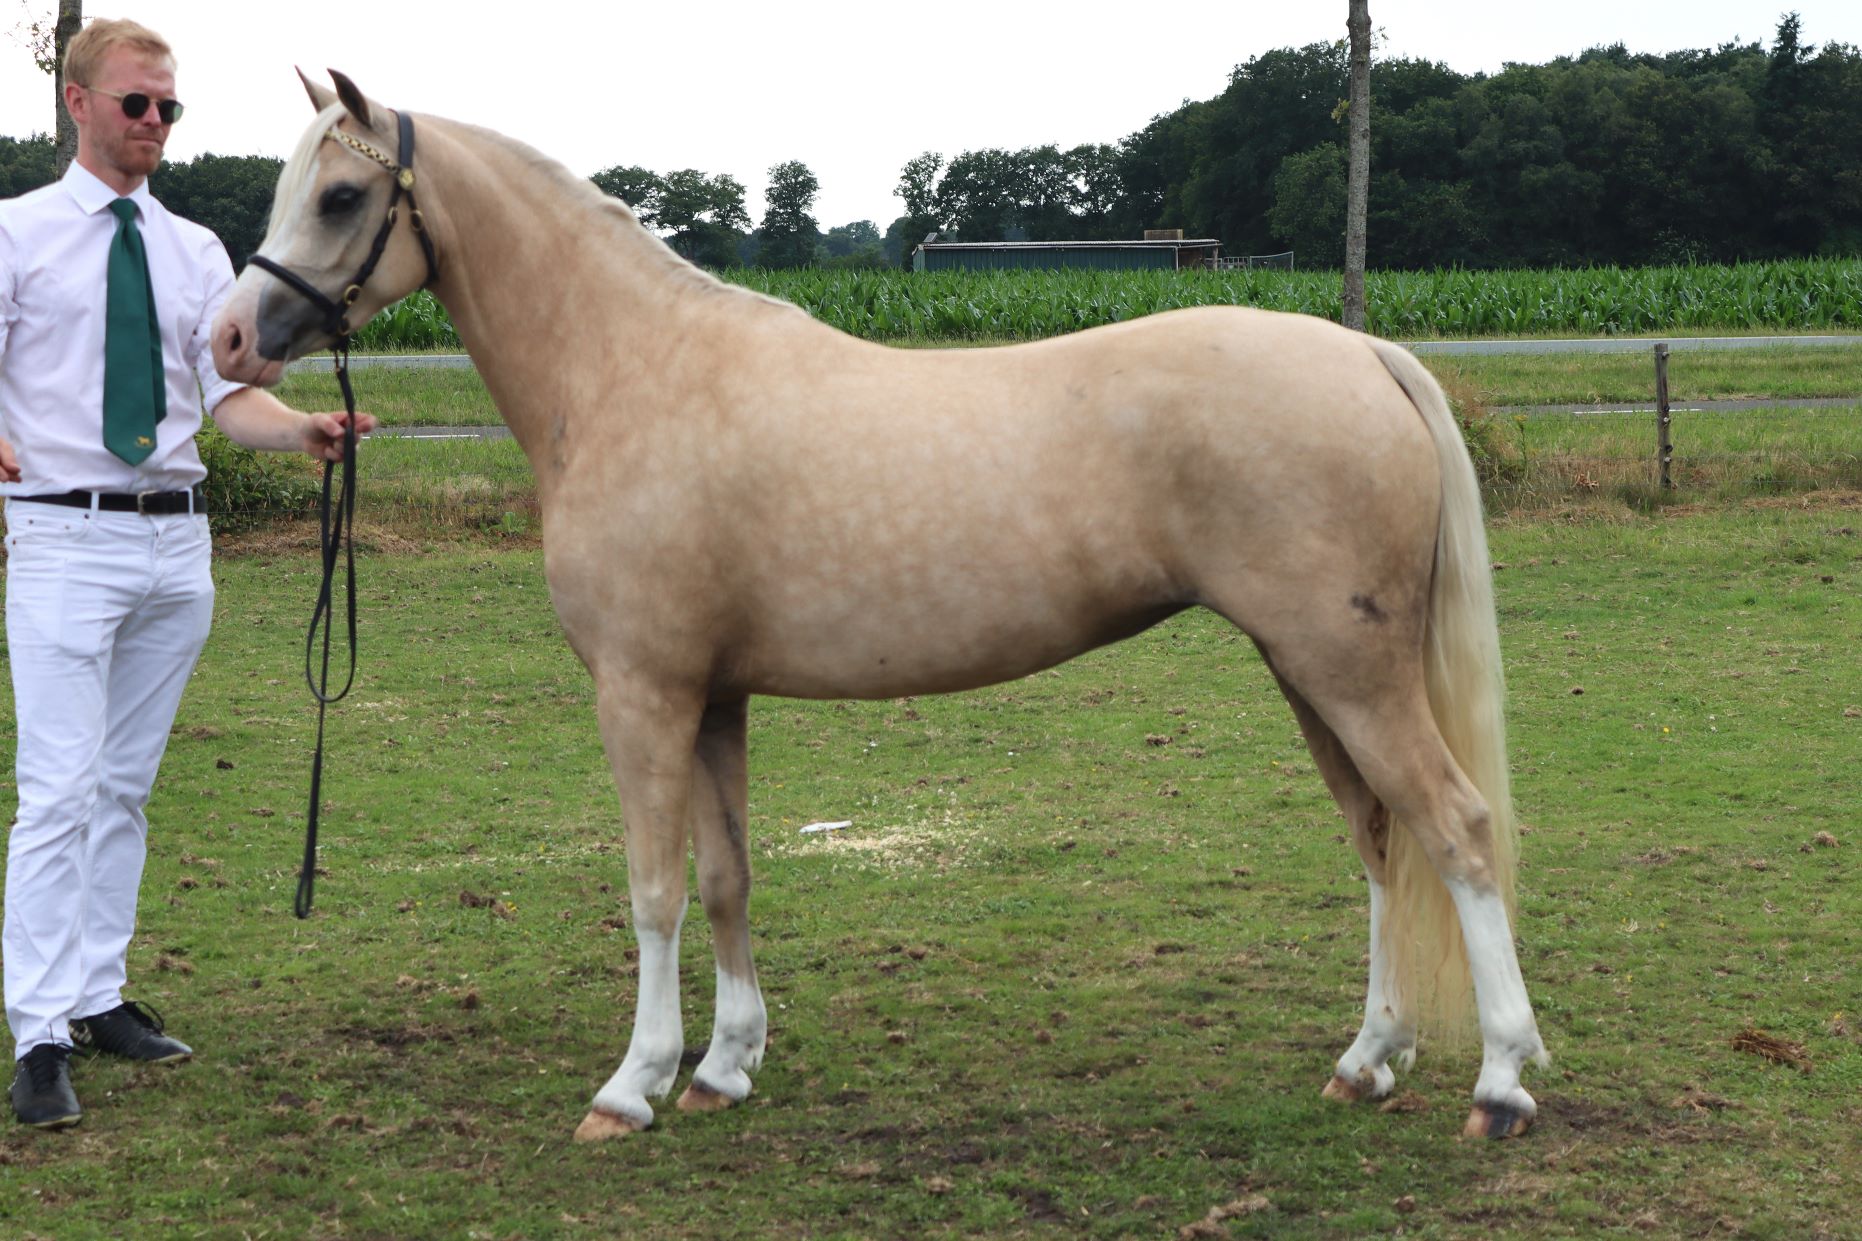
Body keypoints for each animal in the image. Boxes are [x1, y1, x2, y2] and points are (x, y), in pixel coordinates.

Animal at [211, 72, 1548, 1142]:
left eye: (341, 197)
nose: (227, 340)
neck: (632, 372)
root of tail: (1365, 354)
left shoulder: (641, 690)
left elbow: (650, 888)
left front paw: (633, 1083)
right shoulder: (715, 696)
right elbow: (726, 876)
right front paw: (724, 1066)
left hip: (1345, 669)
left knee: (1455, 829)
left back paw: (1498, 1084)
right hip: (1310, 667)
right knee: (1379, 841)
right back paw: (1367, 1059)